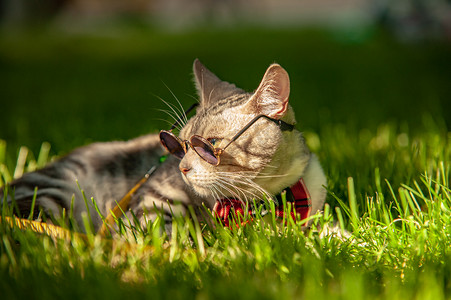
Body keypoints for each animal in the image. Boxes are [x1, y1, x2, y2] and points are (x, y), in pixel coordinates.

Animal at [0, 58, 326, 232]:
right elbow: (165, 233)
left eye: (209, 145)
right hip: (49, 193)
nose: (182, 167)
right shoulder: (151, 201)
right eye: (180, 145)